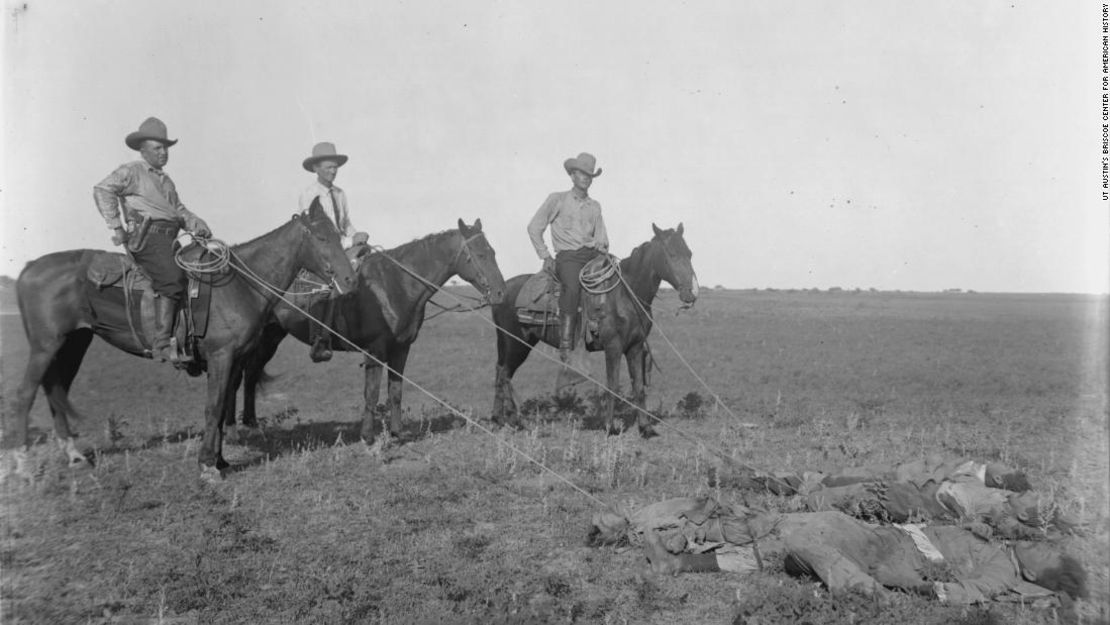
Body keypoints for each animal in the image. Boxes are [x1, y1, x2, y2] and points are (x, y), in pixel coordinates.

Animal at [5, 199, 355, 479]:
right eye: (322, 238)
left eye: (337, 235)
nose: (350, 280)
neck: (239, 285)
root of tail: (30, 267)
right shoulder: (221, 356)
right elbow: (213, 407)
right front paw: (207, 465)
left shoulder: (235, 359)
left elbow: (222, 406)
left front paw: (220, 460)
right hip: (45, 346)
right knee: (24, 395)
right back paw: (23, 465)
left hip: (74, 344)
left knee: (55, 390)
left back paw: (74, 456)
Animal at [240, 217, 508, 441]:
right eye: (480, 254)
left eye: (493, 252)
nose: (500, 293)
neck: (395, 285)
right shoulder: (375, 351)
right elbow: (371, 393)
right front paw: (368, 436)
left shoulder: (401, 350)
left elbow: (395, 391)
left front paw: (398, 433)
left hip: (271, 337)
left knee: (250, 373)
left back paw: (250, 423)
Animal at [492, 224, 697, 435]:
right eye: (672, 254)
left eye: (689, 254)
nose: (690, 294)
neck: (625, 295)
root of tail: (501, 290)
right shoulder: (613, 347)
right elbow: (612, 386)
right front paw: (609, 428)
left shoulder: (636, 346)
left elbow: (639, 387)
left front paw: (645, 429)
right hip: (515, 343)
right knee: (505, 374)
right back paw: (513, 421)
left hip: (512, 343)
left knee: (500, 371)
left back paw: (498, 419)